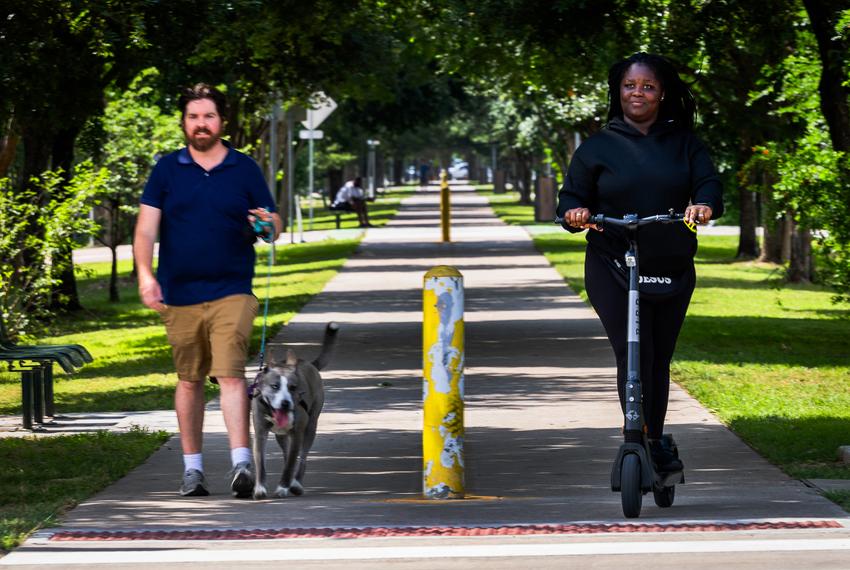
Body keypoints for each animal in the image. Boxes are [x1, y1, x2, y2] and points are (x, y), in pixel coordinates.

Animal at [247, 320, 336, 496]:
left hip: (311, 425)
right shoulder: (260, 432)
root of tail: (309, 364)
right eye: (274, 386)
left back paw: (295, 483)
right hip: (281, 435)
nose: (285, 403)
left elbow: (291, 463)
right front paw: (259, 488)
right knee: (287, 453)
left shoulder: (297, 433)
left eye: (293, 387)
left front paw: (283, 487)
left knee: (301, 457)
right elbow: (260, 460)